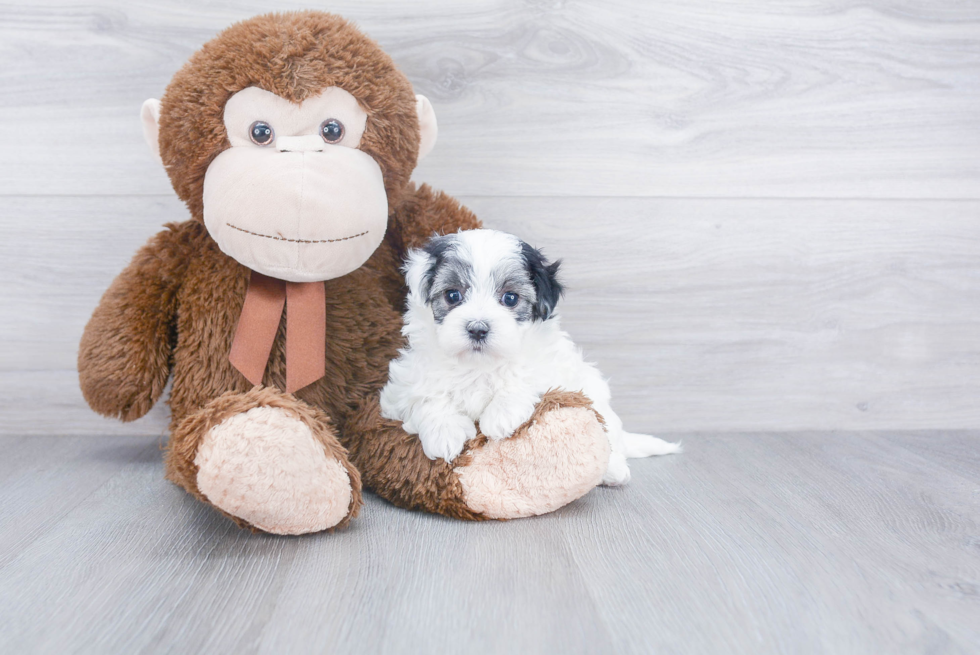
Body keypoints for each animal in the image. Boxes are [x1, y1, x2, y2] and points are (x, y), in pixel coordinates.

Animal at [378, 228, 676, 484]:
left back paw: (614, 471)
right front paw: (444, 433)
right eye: (453, 295)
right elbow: (426, 396)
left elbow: (527, 377)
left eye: (510, 298)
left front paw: (500, 415)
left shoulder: (554, 366)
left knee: (609, 434)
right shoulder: (403, 385)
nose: (478, 329)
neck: (479, 366)